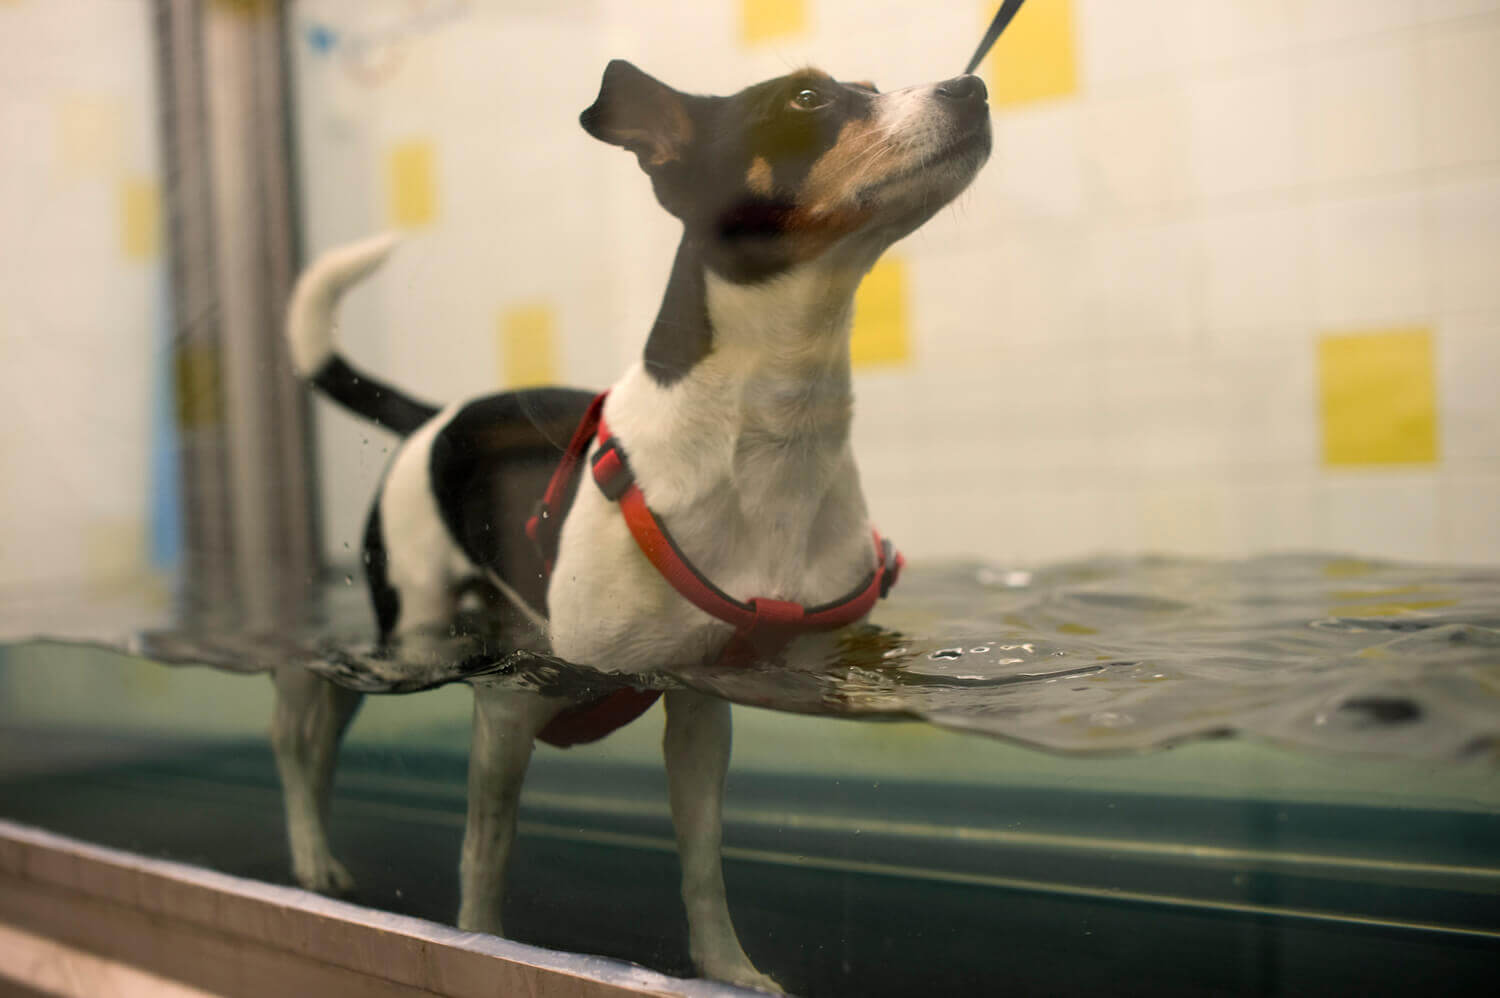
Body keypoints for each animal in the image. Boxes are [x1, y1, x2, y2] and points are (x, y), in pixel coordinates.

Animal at [276, 62, 990, 990]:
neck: (774, 438)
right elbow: (484, 859)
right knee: (309, 719)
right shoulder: (509, 700)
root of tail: (438, 416)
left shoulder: (702, 705)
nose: (973, 87)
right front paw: (479, 946)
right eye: (805, 98)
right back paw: (309, 849)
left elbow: (702, 864)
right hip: (413, 634)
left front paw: (726, 970)